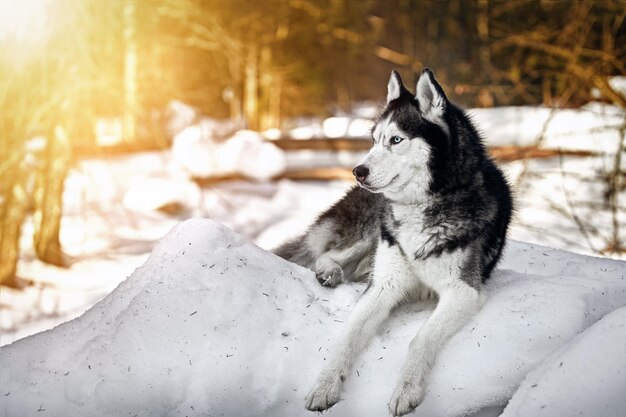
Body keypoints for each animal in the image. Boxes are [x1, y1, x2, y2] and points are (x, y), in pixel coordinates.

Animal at [276, 68, 510, 412]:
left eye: (396, 140)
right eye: (373, 140)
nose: (357, 170)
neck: (421, 207)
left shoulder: (463, 291)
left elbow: (421, 338)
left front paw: (407, 389)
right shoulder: (384, 284)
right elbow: (347, 337)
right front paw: (325, 385)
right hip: (370, 228)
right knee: (326, 253)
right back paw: (329, 272)